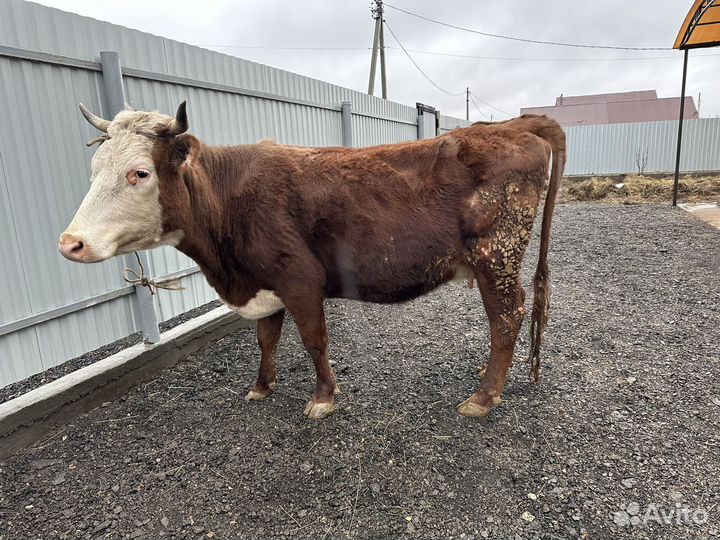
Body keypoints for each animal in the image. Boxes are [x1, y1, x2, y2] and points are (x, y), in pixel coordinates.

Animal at [59, 102, 565, 419]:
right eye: (93, 170)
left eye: (140, 173)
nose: (70, 243)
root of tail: (511, 126)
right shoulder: (265, 284)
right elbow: (266, 339)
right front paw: (261, 386)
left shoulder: (298, 279)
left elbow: (314, 340)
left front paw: (323, 397)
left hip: (496, 256)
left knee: (508, 314)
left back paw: (484, 395)